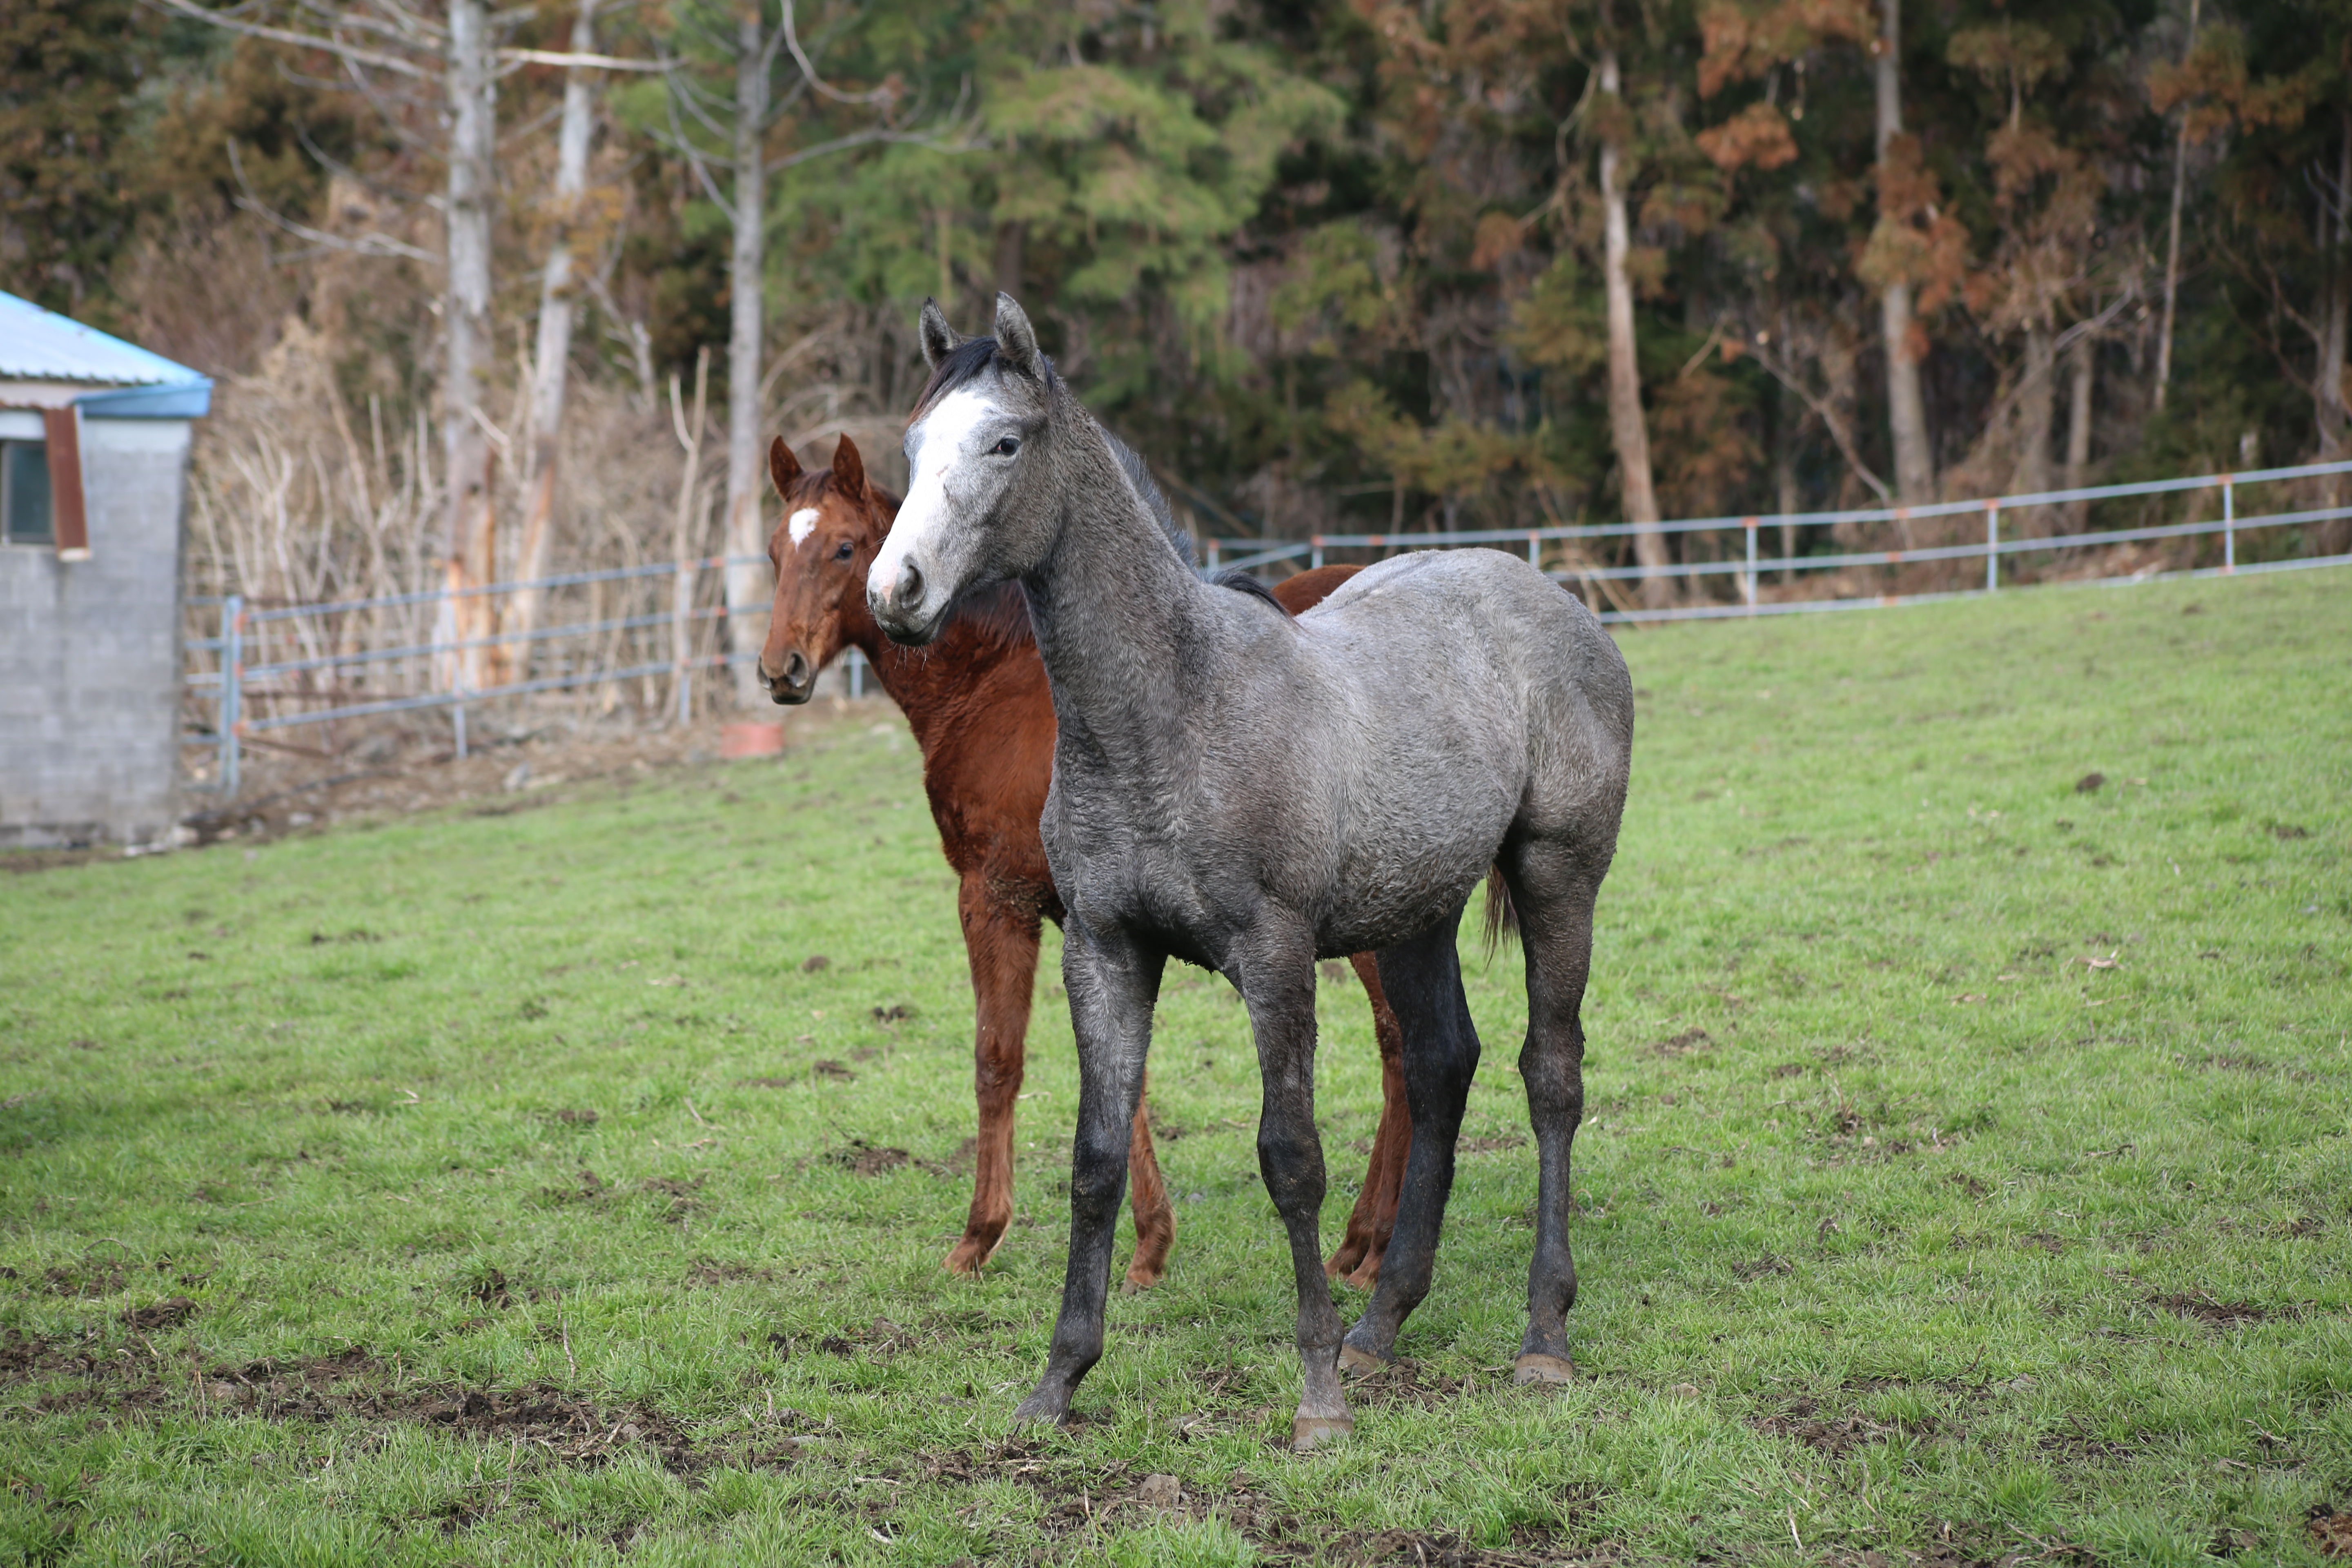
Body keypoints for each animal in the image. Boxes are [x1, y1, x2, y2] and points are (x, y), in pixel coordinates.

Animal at [757, 439, 1411, 1288]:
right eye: (775, 552)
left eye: (842, 548)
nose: (783, 669)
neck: (995, 680)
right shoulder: (1099, 917)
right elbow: (1120, 1073)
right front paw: (1150, 1245)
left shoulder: (992, 895)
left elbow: (998, 1059)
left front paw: (980, 1236)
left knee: (1407, 1046)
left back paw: (1372, 1248)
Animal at [870, 291, 1637, 1448]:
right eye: (912, 448)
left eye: (1004, 443)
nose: (894, 589)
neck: (1172, 714)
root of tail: (1545, 592)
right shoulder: (1104, 950)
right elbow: (1095, 1160)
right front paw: (1058, 1381)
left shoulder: (1272, 959)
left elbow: (1291, 1158)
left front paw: (1316, 1399)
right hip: (1414, 911)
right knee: (1440, 1065)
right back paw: (1382, 1322)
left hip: (1557, 874)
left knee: (1549, 1075)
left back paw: (1540, 1335)